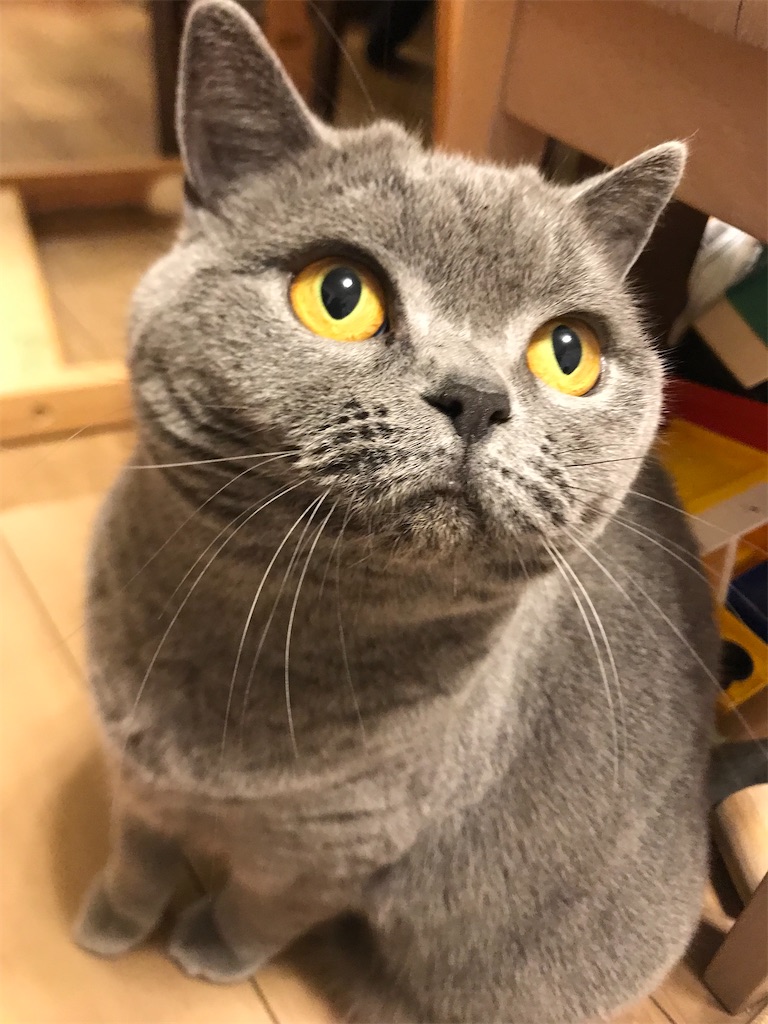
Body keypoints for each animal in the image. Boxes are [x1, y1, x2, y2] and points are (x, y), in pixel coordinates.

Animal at [74, 2, 718, 1021]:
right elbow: (137, 849)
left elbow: (259, 909)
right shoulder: (131, 767)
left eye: (567, 351)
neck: (249, 640)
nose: (478, 398)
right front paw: (108, 923)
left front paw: (208, 952)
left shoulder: (333, 853)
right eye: (340, 294)